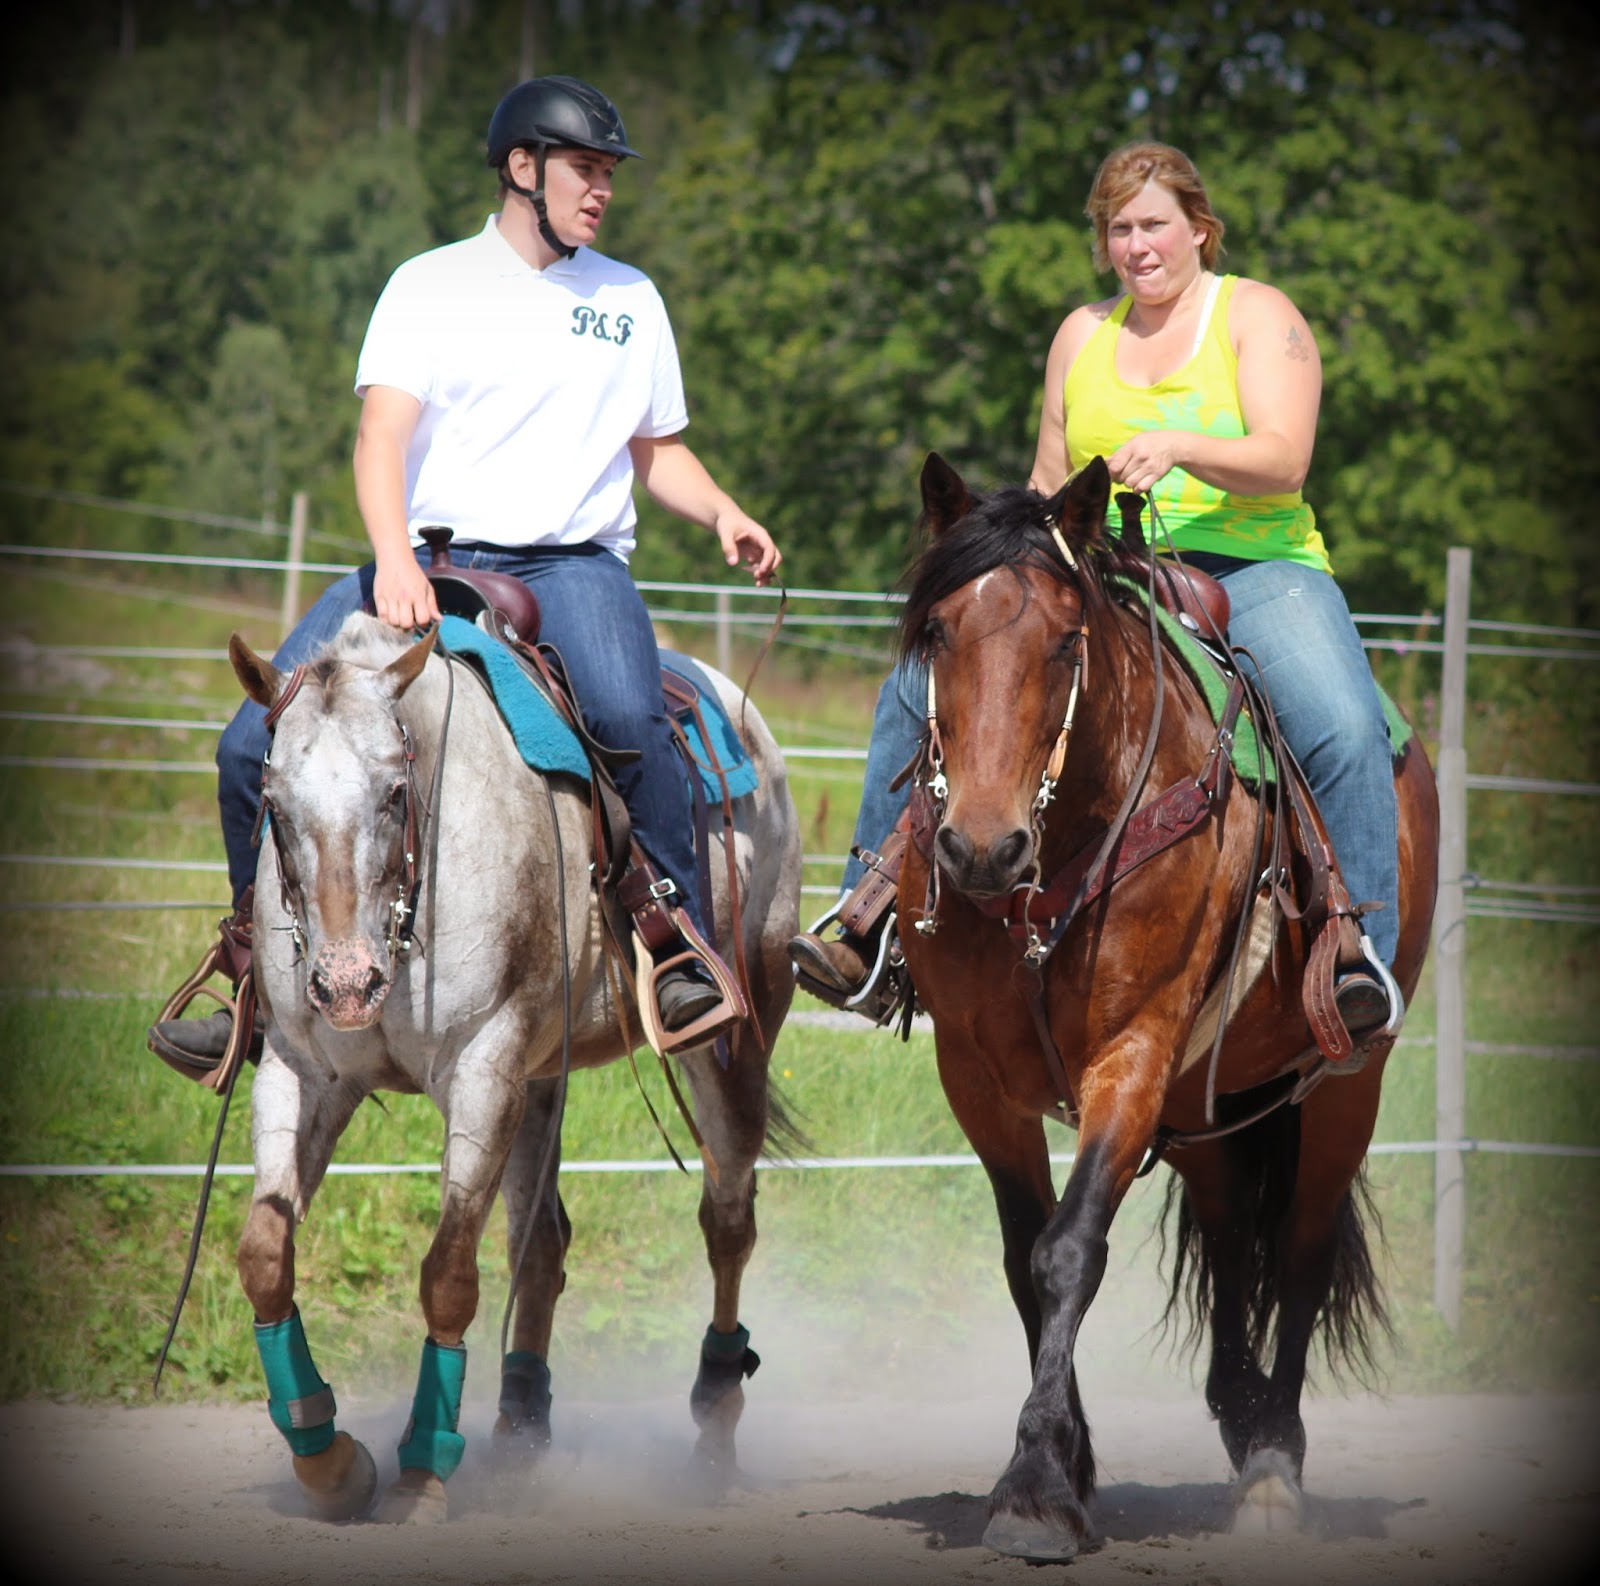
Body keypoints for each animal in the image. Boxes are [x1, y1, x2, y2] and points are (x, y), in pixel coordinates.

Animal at [225, 611, 801, 1523]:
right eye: (273, 805)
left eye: (395, 793)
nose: (347, 983)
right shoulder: (302, 1069)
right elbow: (264, 1257)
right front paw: (329, 1461)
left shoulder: (484, 1066)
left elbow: (449, 1274)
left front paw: (424, 1468)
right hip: (540, 1079)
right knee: (543, 1241)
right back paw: (521, 1428)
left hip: (734, 1038)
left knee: (728, 1220)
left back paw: (713, 1430)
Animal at [894, 454, 1439, 1561]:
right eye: (936, 633)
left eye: (1067, 640)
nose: (980, 848)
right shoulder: (976, 1077)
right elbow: (1023, 1256)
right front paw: (1069, 1465)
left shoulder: (1132, 1055)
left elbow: (1069, 1249)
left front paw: (1035, 1489)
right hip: (1207, 1104)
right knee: (1231, 1235)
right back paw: (1237, 1411)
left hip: (1343, 1085)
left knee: (1301, 1252)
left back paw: (1272, 1459)